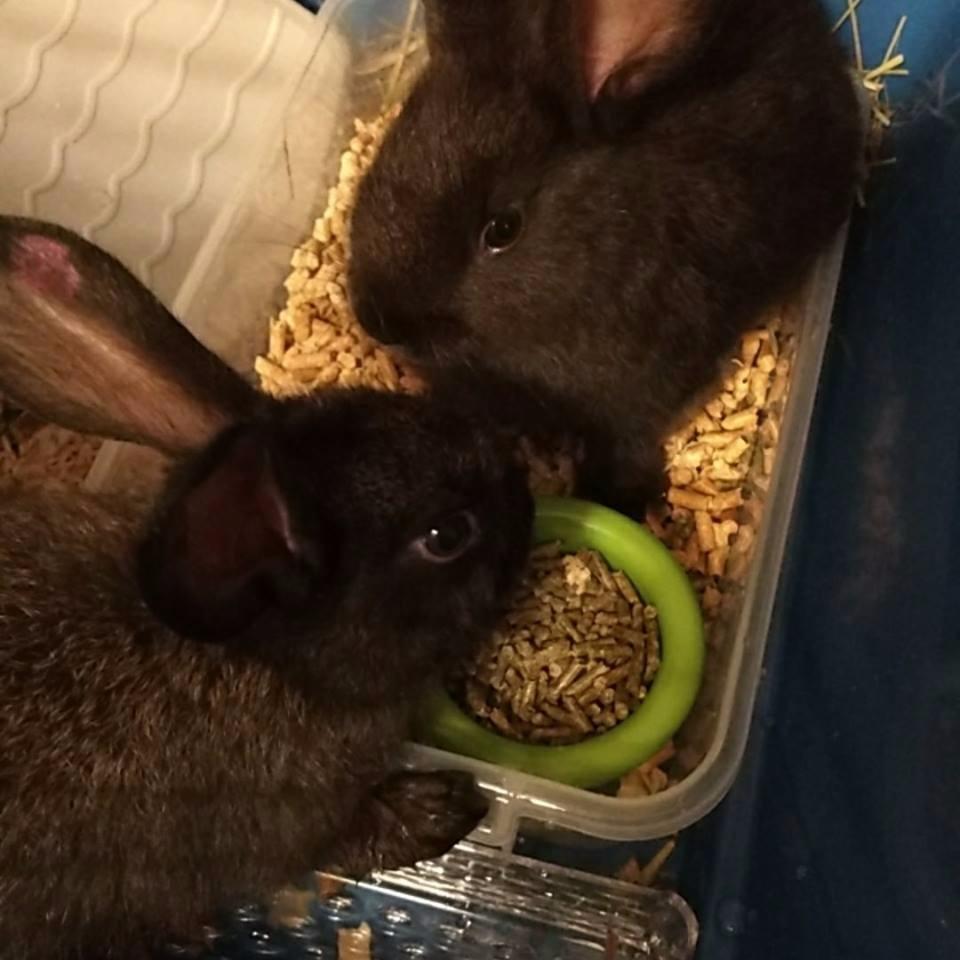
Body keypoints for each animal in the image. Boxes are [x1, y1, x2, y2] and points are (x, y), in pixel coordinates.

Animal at [0, 216, 533, 960]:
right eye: (445, 535)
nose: (526, 488)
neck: (267, 662)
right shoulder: (297, 826)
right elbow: (352, 840)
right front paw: (446, 809)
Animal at [347, 0, 863, 516]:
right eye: (382, 163)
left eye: (503, 229)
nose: (377, 321)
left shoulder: (639, 399)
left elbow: (626, 448)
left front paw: (612, 498)